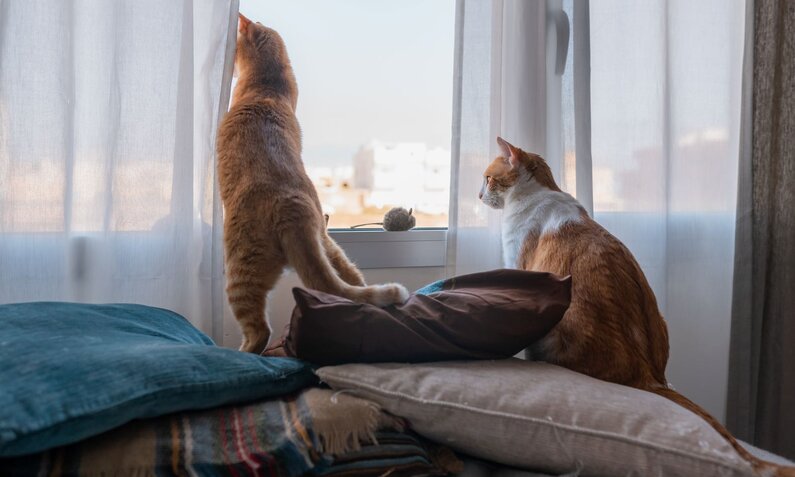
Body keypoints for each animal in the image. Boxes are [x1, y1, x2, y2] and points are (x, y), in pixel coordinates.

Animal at [215, 14, 408, 354]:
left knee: (260, 331)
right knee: (353, 283)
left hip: (240, 274)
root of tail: (292, 208)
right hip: (331, 248)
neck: (268, 85)